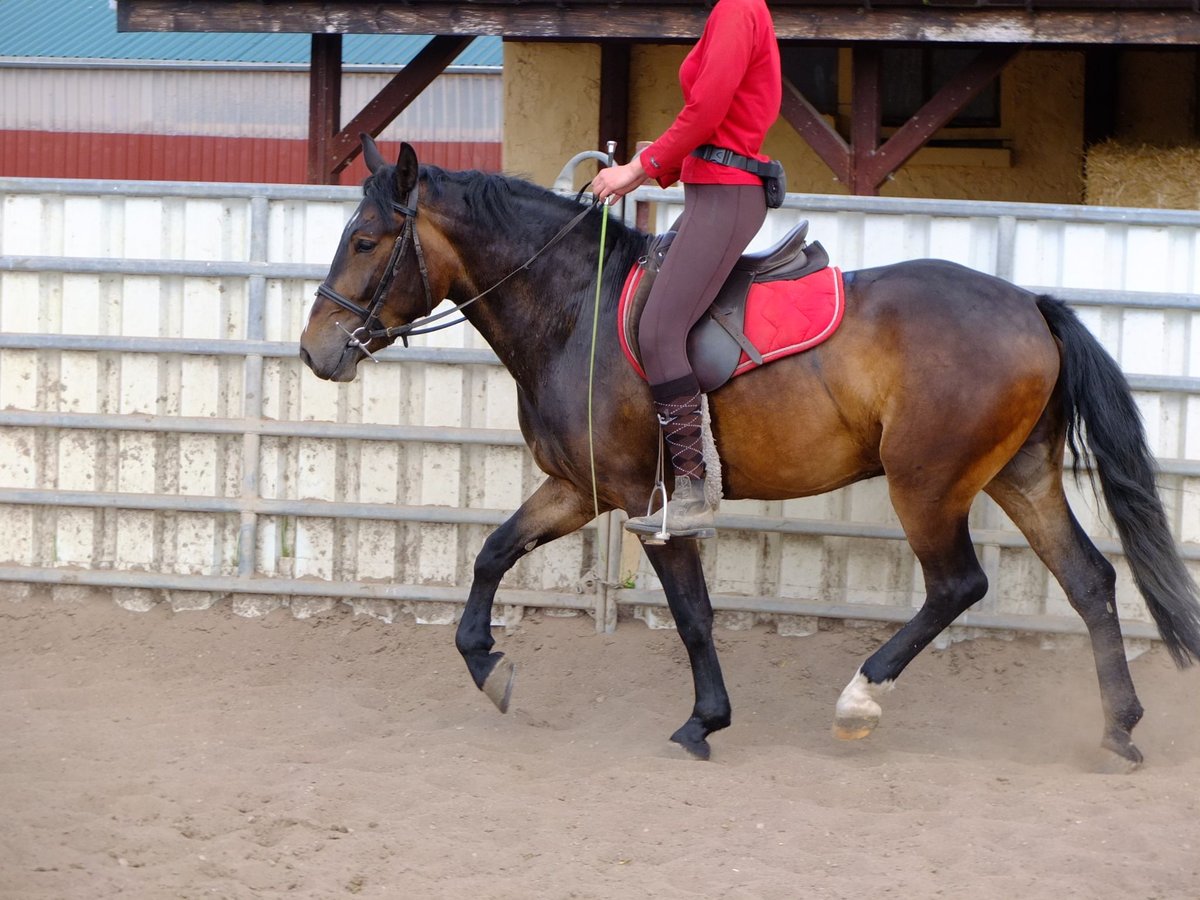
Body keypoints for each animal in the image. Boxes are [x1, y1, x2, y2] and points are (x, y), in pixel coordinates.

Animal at [300, 137, 1200, 772]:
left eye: (369, 240)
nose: (316, 351)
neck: (573, 307)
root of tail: (1032, 305)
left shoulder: (644, 498)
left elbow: (692, 614)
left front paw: (705, 719)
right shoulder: (579, 488)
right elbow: (491, 553)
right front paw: (487, 665)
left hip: (928, 483)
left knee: (959, 585)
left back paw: (859, 700)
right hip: (1019, 475)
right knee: (1090, 581)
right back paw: (1119, 728)